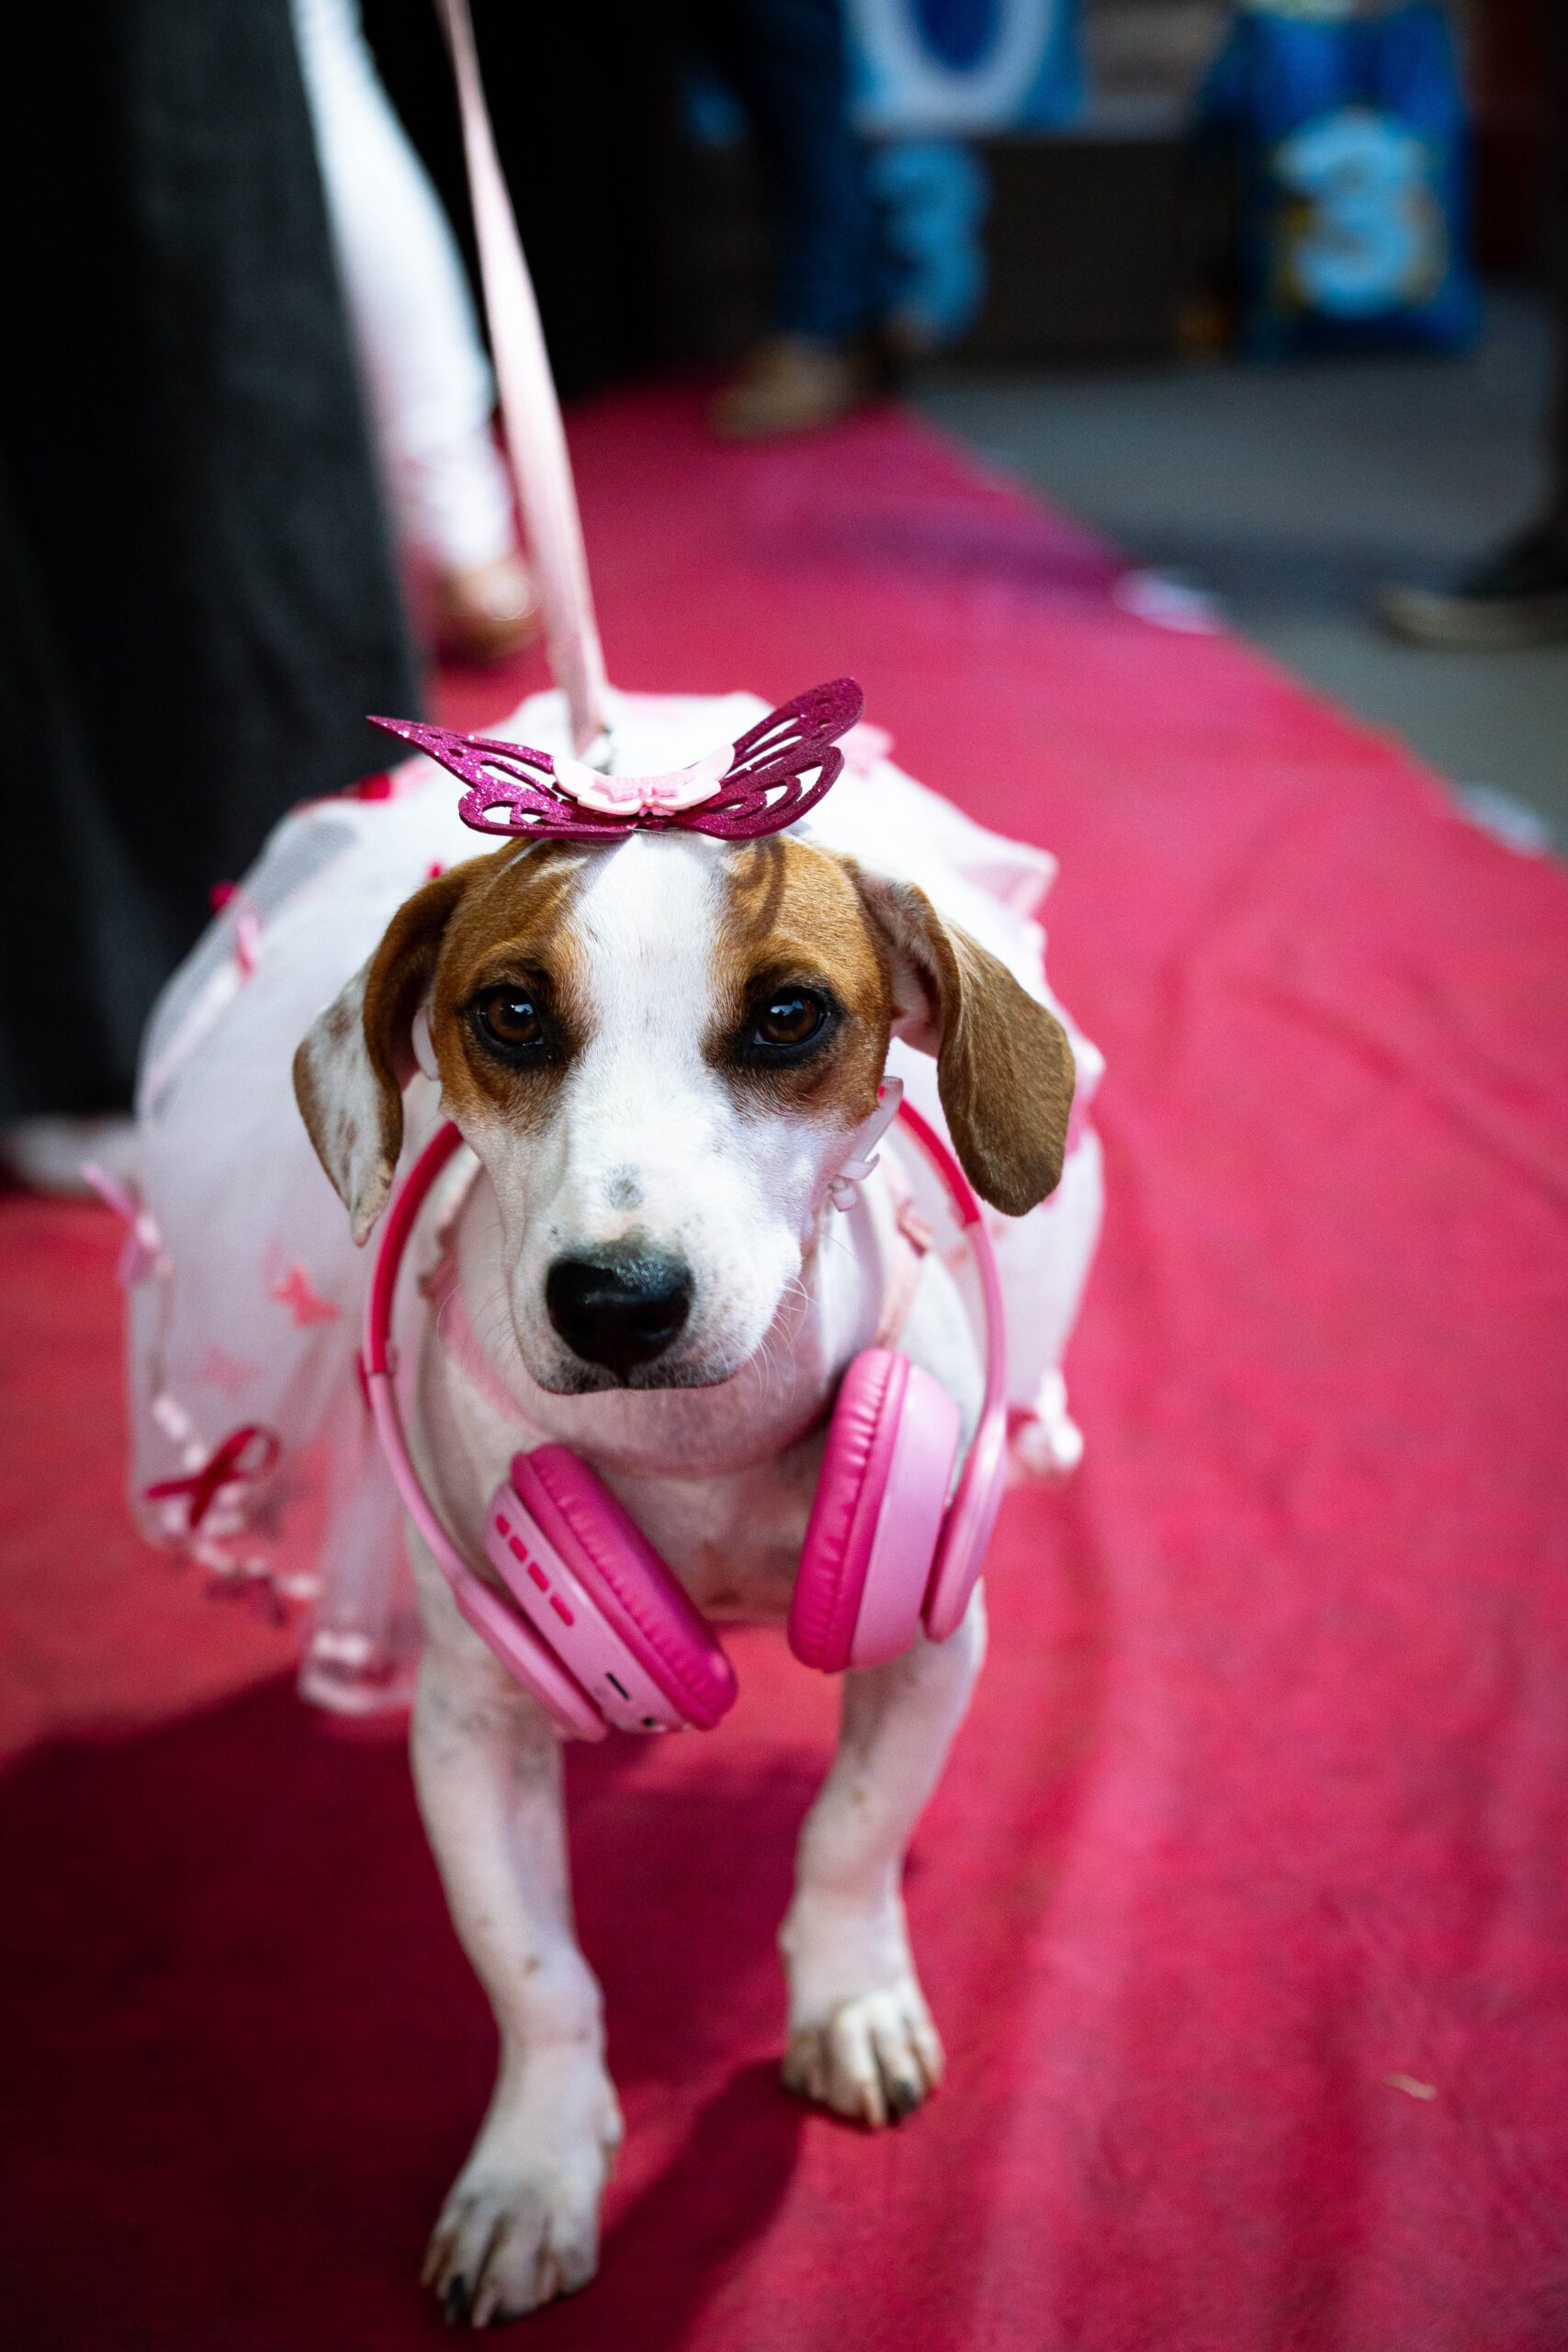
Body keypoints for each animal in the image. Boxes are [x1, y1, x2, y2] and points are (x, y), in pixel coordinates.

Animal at [292, 779, 1077, 2325]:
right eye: (510, 1012)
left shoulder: (929, 1646)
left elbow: (849, 1834)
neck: (693, 1446)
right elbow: (532, 1969)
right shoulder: (472, 1726)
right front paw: (533, 2168)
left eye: (787, 1015)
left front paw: (848, 1998)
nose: (615, 1300)